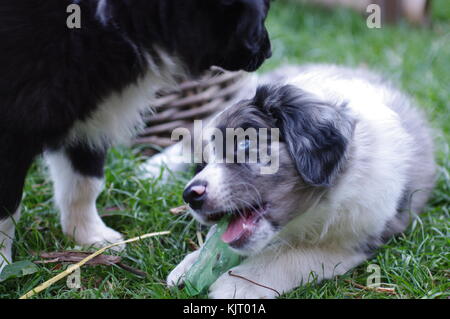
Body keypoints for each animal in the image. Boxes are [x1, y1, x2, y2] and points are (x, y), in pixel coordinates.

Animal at [0, 0, 270, 272]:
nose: (268, 52)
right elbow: (6, 209)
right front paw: (3, 262)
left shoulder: (86, 111)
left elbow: (84, 182)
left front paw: (91, 237)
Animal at [166, 65, 436, 300]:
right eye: (201, 165)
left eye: (245, 144)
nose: (189, 195)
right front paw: (192, 265)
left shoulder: (359, 233)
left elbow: (294, 252)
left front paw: (239, 283)